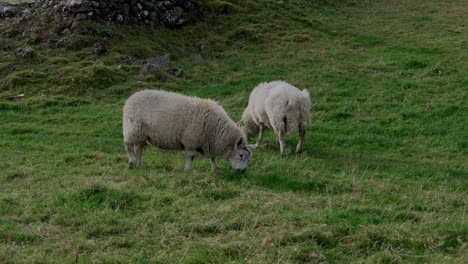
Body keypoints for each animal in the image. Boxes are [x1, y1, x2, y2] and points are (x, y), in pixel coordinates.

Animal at [122, 89, 254, 172]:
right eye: (241, 155)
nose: (243, 171)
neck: (215, 130)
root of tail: (131, 97)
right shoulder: (191, 140)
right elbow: (191, 156)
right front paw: (187, 170)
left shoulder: (207, 142)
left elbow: (212, 157)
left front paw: (216, 168)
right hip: (133, 129)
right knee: (128, 145)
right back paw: (132, 162)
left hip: (143, 134)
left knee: (138, 148)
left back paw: (138, 164)